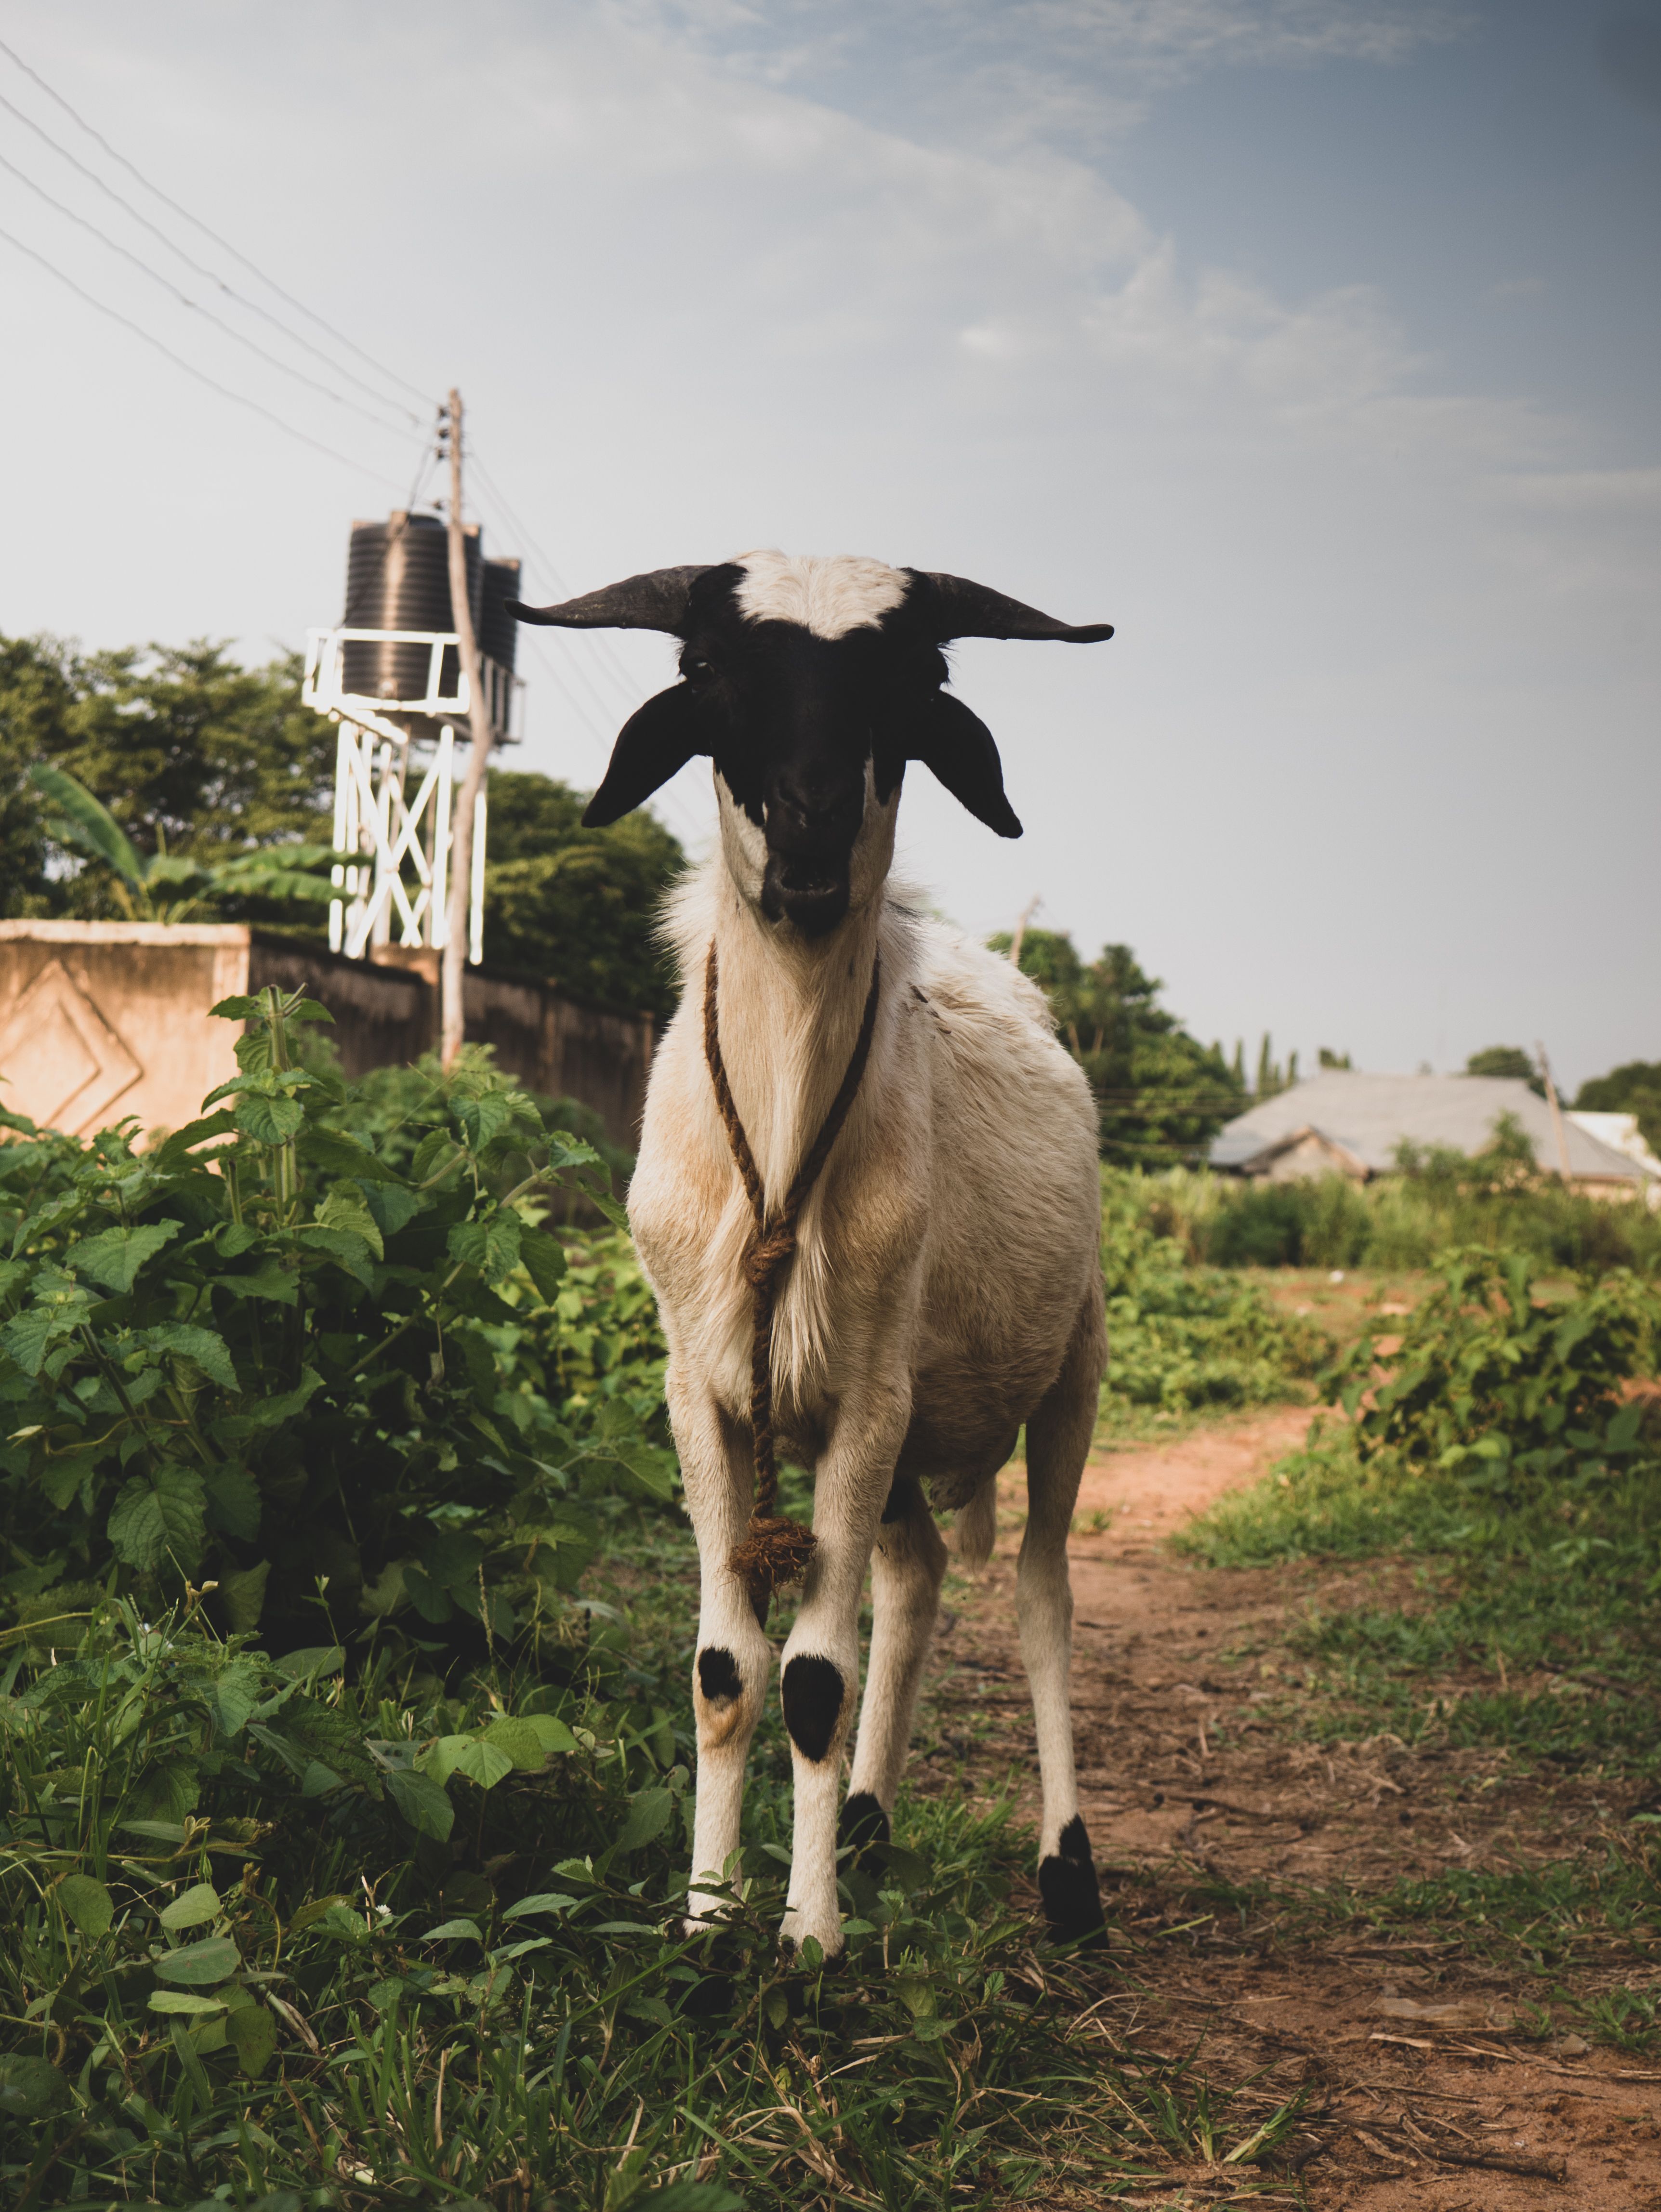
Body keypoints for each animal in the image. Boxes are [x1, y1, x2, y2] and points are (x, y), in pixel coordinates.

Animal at [511, 552, 1115, 1956]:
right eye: (702, 673)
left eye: (918, 680)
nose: (808, 843)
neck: (785, 1139)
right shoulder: (702, 1393)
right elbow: (728, 1670)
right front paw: (705, 1922)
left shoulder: (869, 1399)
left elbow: (813, 1678)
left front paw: (807, 1942)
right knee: (918, 1576)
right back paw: (867, 1823)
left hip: (1069, 1365)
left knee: (1040, 1596)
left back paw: (1065, 1872)